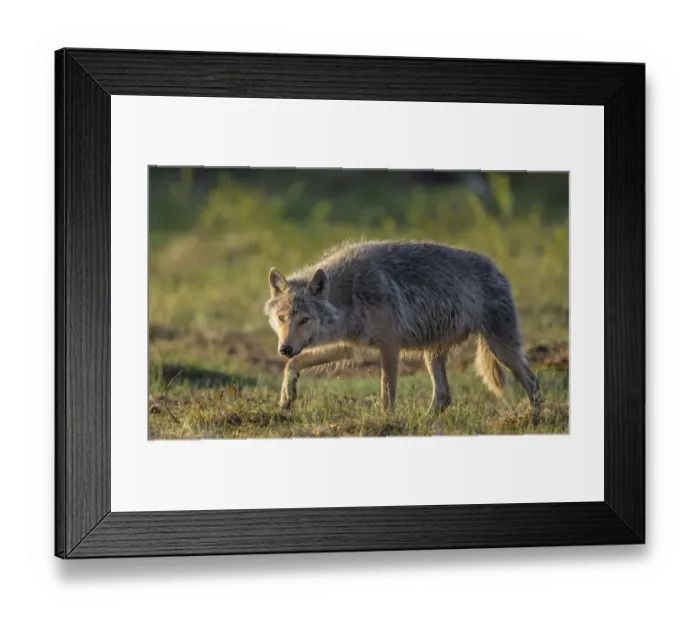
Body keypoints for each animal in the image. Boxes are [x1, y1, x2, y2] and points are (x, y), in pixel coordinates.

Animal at [264, 240, 540, 413]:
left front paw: (386, 422)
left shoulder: (389, 346)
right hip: (433, 355)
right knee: (443, 397)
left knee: (534, 383)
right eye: (282, 318)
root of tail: (499, 270)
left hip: (502, 351)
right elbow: (293, 364)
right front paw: (286, 398)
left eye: (305, 319)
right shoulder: (351, 347)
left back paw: (533, 420)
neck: (350, 292)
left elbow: (387, 394)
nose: (284, 348)